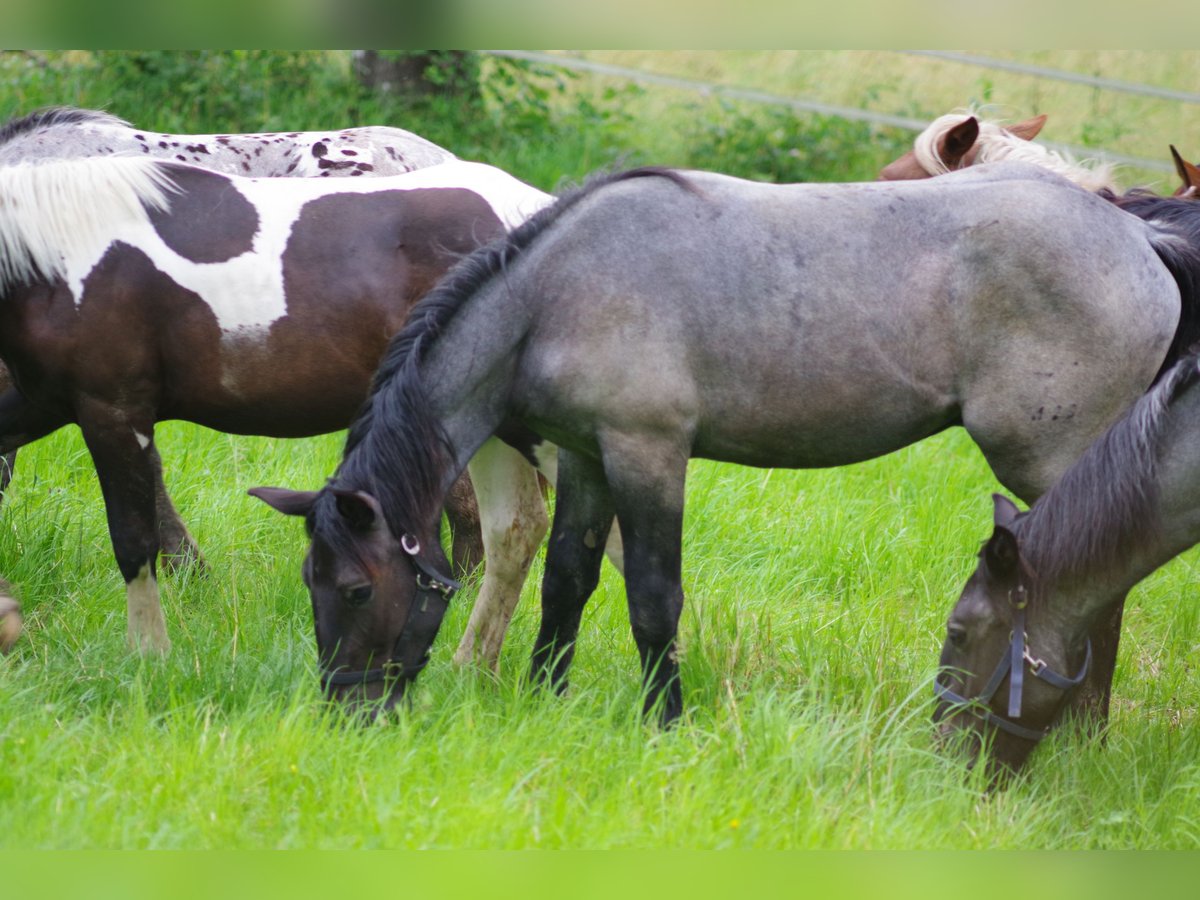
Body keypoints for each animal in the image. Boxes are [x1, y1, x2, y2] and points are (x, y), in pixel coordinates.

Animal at [0, 151, 609, 667]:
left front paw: (150, 656)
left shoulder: (113, 411)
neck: (54, 256)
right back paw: (472, 668)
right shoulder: (44, 401)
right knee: (516, 531)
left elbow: (134, 540)